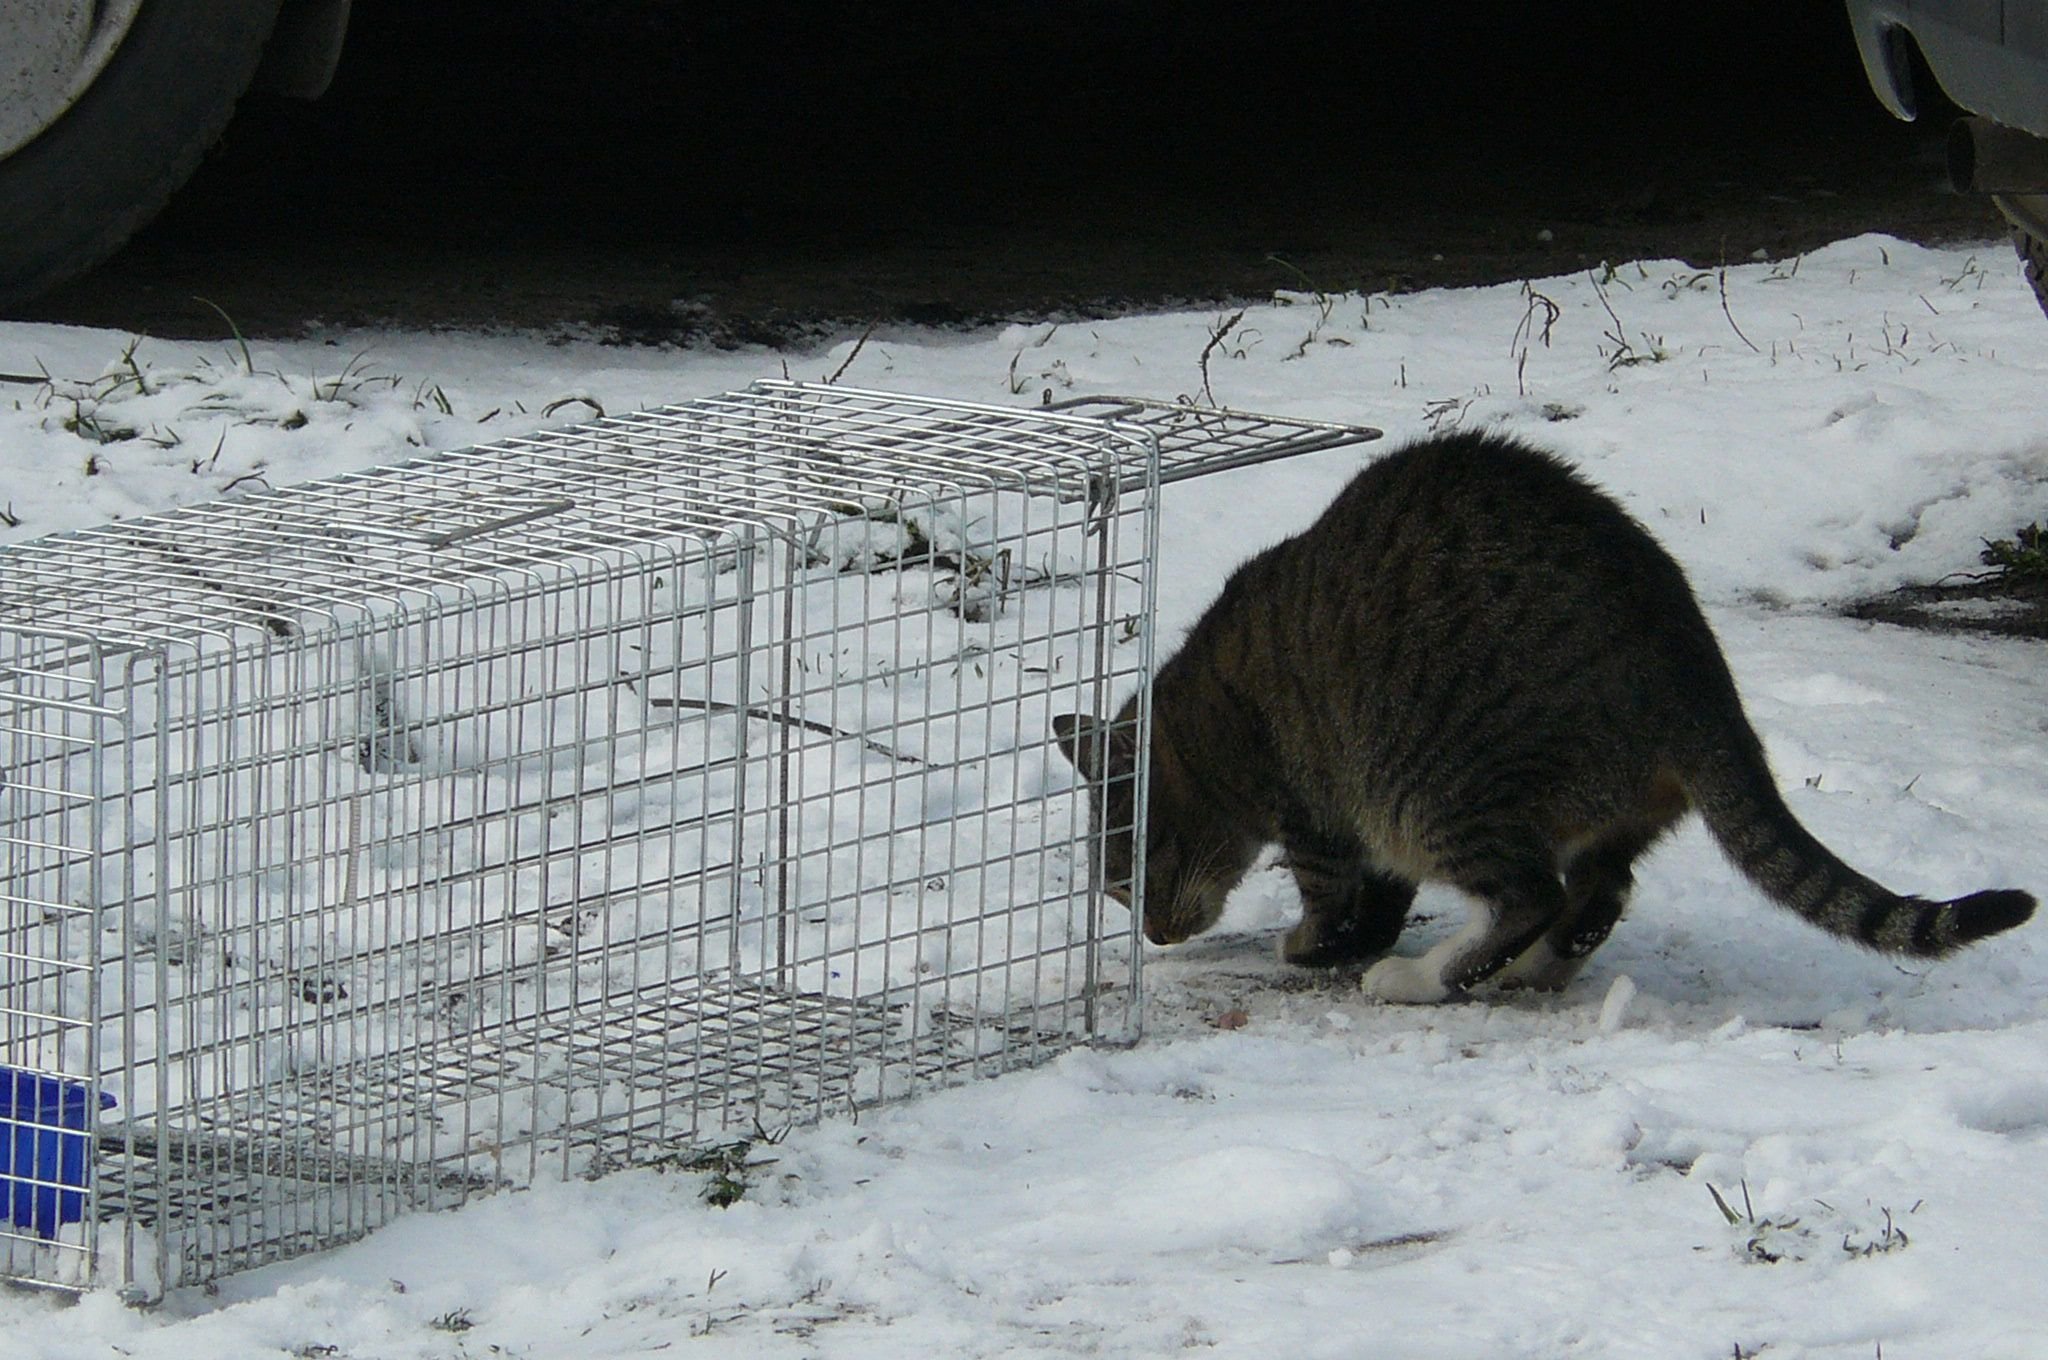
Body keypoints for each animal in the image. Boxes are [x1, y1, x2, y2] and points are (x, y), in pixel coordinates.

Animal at [1056, 430, 2031, 1003]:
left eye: (1127, 879)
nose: (1154, 933)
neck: (1194, 722)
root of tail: (1697, 678)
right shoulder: (1364, 831)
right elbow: (1380, 897)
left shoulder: (1318, 808)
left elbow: (1332, 899)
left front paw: (1309, 947)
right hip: (1579, 809)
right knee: (1598, 894)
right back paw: (1529, 970)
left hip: (1435, 784)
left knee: (1534, 894)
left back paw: (1422, 979)